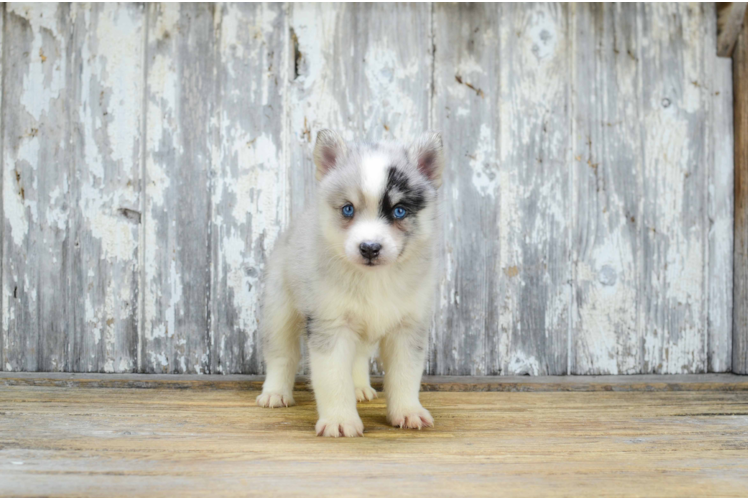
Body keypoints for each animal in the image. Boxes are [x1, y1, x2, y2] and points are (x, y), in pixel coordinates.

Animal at [258, 130, 444, 438]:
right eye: (348, 209)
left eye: (399, 211)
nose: (369, 248)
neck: (374, 279)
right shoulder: (330, 326)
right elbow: (333, 378)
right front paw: (339, 420)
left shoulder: (408, 328)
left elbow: (405, 376)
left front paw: (407, 411)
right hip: (279, 310)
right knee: (282, 354)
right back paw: (275, 393)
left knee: (358, 357)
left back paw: (359, 387)